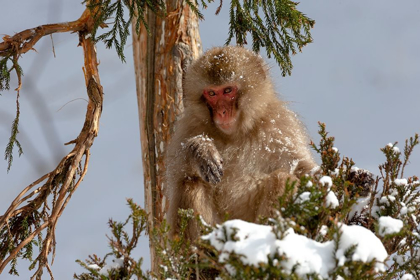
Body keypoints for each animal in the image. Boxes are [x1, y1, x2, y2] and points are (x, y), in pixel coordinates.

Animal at [166, 46, 316, 238]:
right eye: (212, 93)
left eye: (228, 90)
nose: (222, 112)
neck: (235, 134)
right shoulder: (190, 126)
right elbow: (173, 174)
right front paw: (201, 151)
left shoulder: (281, 126)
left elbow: (302, 169)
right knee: (191, 183)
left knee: (282, 178)